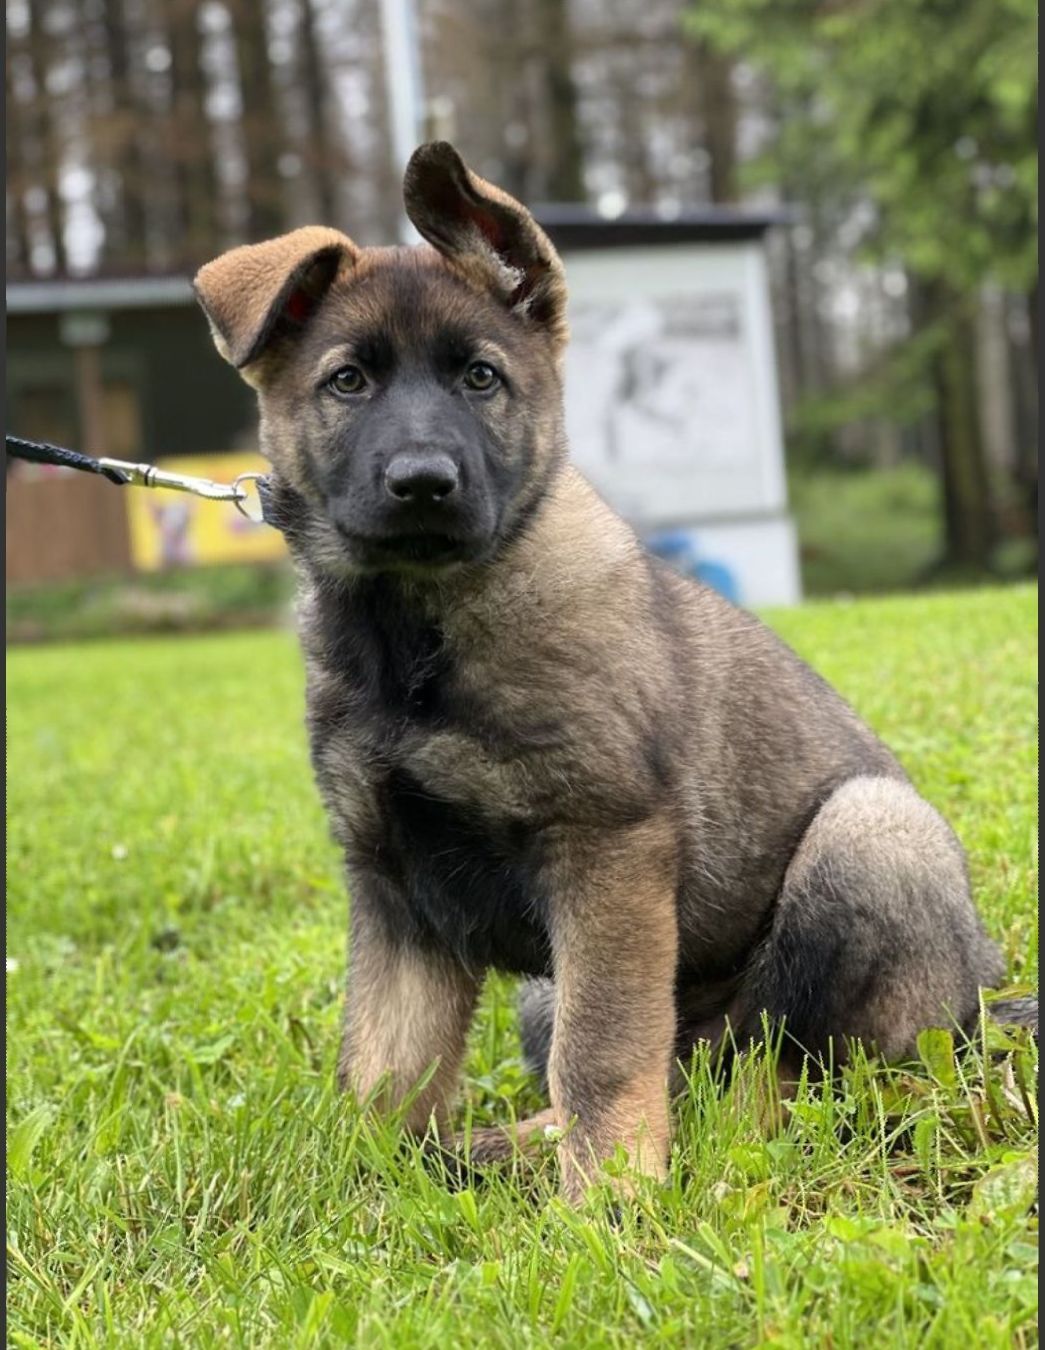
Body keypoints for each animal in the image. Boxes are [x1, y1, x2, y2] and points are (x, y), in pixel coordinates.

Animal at [194, 142, 1030, 1203]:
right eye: (347, 382)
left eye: (480, 378)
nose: (423, 483)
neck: (416, 633)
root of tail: (981, 1000)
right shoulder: (392, 887)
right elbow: (383, 1064)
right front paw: (364, 1186)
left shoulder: (606, 849)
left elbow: (600, 1051)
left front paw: (610, 1200)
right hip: (546, 987)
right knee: (681, 1071)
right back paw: (508, 1147)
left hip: (868, 839)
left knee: (781, 1077)